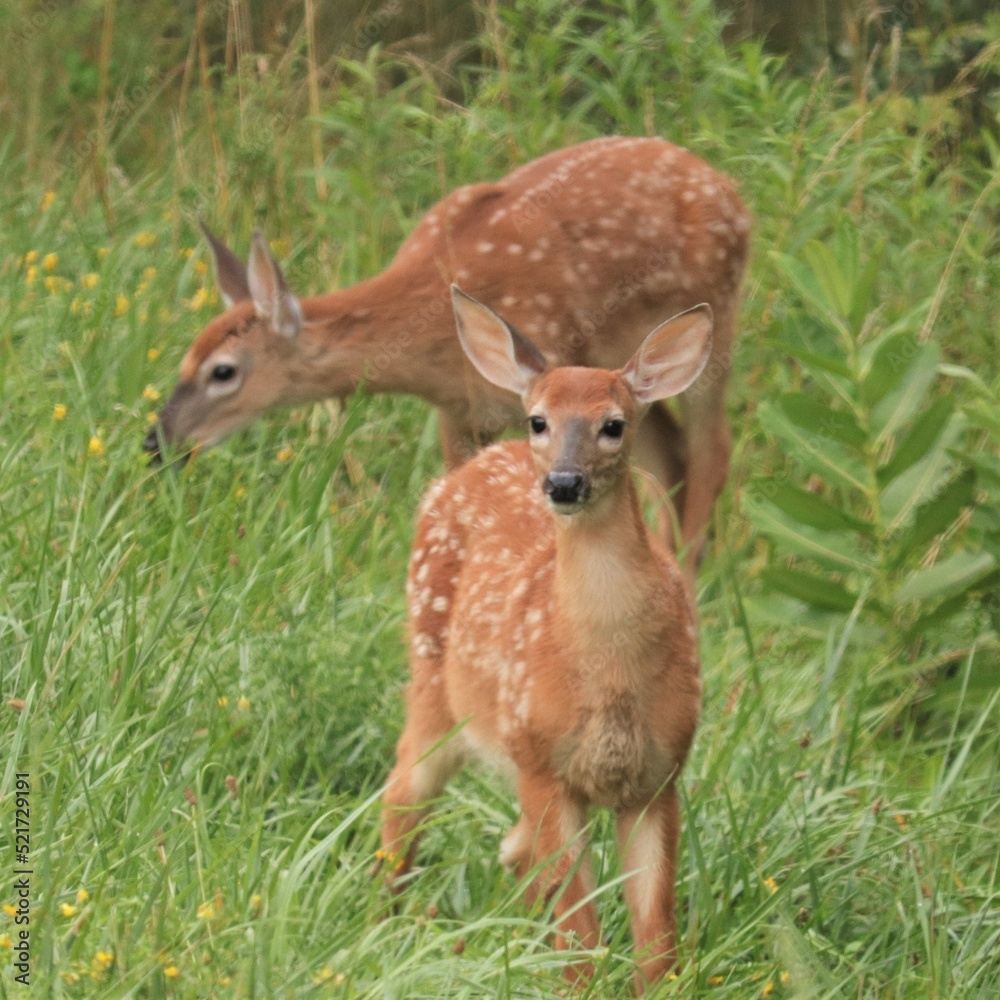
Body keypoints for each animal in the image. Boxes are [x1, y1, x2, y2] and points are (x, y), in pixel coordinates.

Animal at [145, 137, 748, 568]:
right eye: (183, 359)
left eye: (223, 372)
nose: (158, 443)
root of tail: (729, 188)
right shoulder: (457, 410)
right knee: (670, 454)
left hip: (714, 323)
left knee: (712, 449)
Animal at [378, 290, 708, 992]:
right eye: (539, 420)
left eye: (614, 424)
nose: (563, 483)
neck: (609, 673)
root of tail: (464, 469)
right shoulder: (542, 761)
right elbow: (579, 931)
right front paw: (576, 986)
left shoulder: (660, 773)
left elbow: (655, 934)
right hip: (436, 685)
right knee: (403, 794)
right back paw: (383, 918)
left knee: (514, 846)